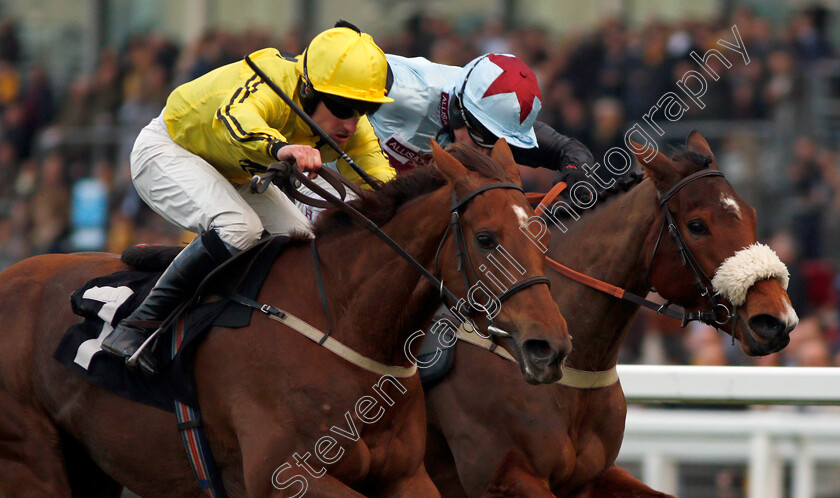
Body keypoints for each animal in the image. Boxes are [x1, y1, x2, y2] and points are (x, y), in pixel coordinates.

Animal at [0, 142, 572, 496]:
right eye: (486, 239)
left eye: (540, 234)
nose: (550, 347)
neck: (343, 323)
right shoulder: (285, 477)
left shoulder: (407, 477)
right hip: (31, 462)